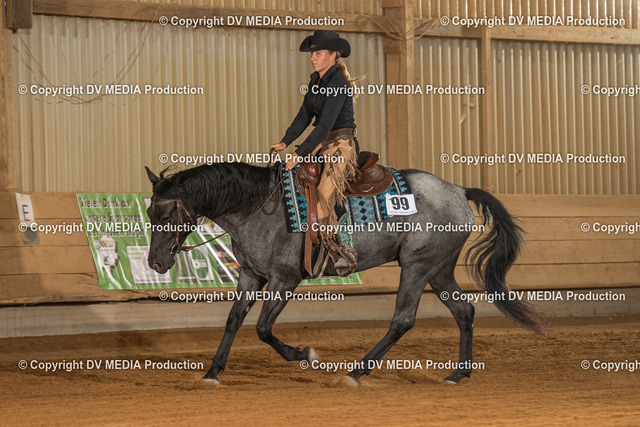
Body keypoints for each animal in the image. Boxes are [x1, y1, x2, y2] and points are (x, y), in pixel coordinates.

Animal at [144, 162, 546, 387]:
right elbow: (233, 321)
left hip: (417, 266)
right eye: (149, 214)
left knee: (403, 319)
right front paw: (213, 372)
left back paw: (356, 372)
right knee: (464, 312)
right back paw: (458, 374)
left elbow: (262, 328)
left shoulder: (284, 279)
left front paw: (304, 354)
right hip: (439, 268)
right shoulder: (250, 275)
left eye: (164, 215)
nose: (155, 264)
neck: (259, 207)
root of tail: (458, 190)